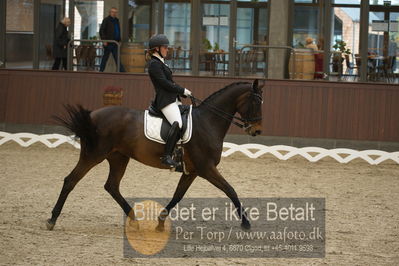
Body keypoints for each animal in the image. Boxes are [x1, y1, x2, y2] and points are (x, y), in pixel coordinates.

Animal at [47, 79, 264, 231]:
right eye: (255, 102)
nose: (257, 131)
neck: (208, 122)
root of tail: (92, 116)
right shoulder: (206, 169)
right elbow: (230, 190)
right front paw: (246, 223)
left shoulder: (192, 171)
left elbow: (178, 196)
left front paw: (160, 223)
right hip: (93, 156)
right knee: (70, 181)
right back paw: (52, 219)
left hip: (119, 158)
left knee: (112, 186)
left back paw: (134, 219)